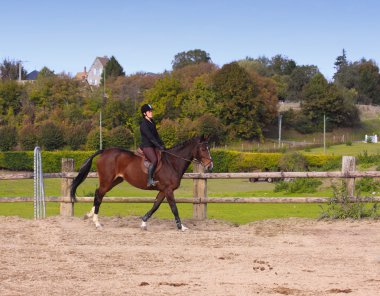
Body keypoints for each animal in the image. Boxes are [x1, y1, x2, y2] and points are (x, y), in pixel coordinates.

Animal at [70, 135, 212, 230]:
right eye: (203, 149)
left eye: (209, 148)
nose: (210, 166)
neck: (172, 162)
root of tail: (104, 151)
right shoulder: (168, 190)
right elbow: (174, 208)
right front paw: (181, 226)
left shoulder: (163, 190)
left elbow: (155, 206)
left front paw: (143, 222)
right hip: (107, 180)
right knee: (99, 194)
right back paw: (96, 222)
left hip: (115, 181)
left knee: (98, 194)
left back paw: (90, 215)